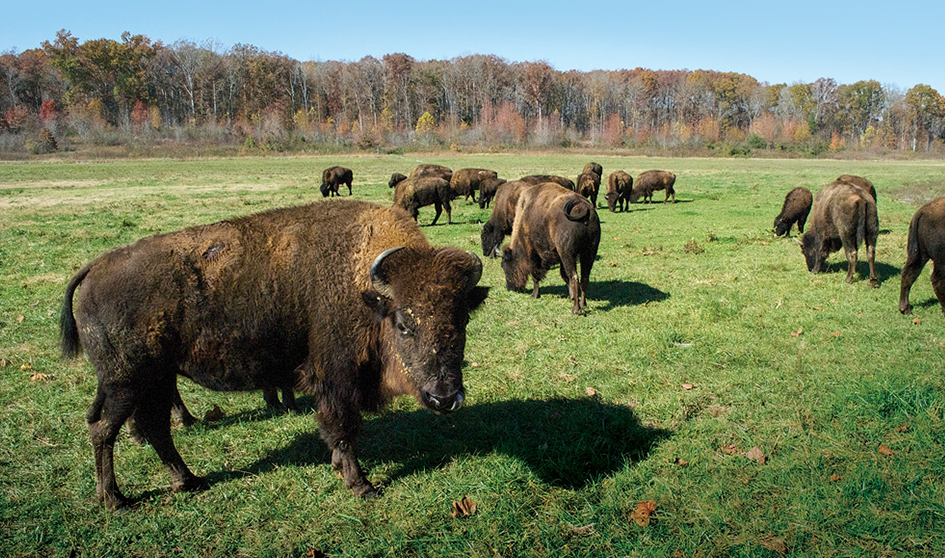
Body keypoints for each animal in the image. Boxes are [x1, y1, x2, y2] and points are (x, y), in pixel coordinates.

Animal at [61, 200, 488, 508]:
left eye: (463, 319)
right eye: (402, 323)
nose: (444, 397)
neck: (365, 288)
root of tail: (94, 268)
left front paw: (340, 469)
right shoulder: (337, 380)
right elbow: (343, 428)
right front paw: (361, 484)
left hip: (156, 379)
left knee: (155, 428)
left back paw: (189, 481)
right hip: (126, 382)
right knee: (104, 428)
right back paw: (115, 500)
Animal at [501, 182, 601, 314]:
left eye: (505, 265)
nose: (510, 288)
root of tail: (583, 208)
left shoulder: (534, 255)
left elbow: (536, 276)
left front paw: (534, 295)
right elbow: (564, 276)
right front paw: (572, 297)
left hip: (568, 254)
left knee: (574, 277)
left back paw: (575, 310)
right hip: (589, 252)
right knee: (584, 277)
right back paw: (583, 304)